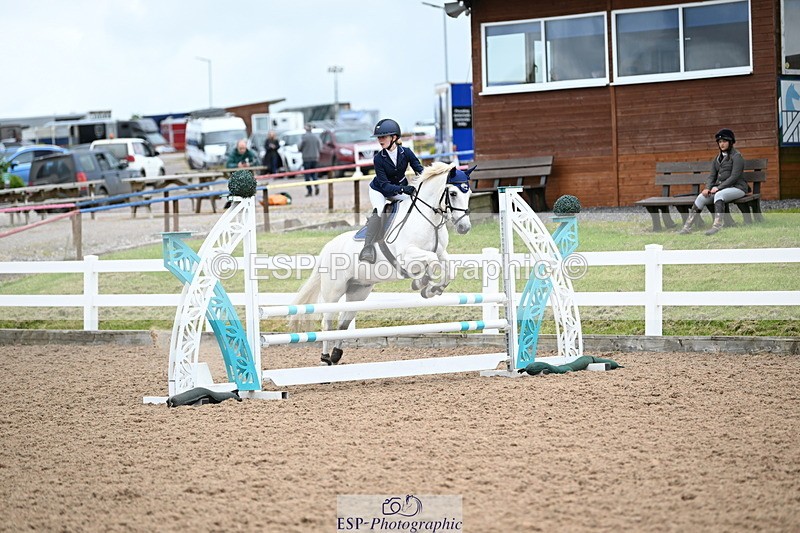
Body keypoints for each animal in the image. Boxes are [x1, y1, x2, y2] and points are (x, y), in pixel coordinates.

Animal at [290, 161, 475, 366]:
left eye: (469, 193)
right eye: (453, 193)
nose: (464, 227)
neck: (428, 220)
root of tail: (327, 248)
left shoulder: (441, 252)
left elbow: (449, 269)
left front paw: (434, 289)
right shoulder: (406, 256)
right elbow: (431, 262)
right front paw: (423, 284)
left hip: (358, 291)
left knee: (343, 324)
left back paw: (336, 354)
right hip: (334, 291)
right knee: (327, 322)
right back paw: (325, 358)